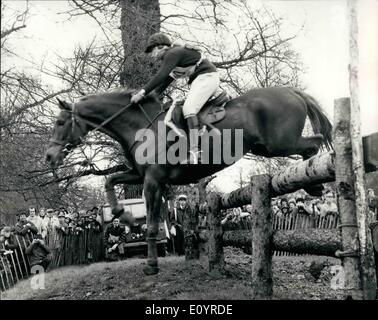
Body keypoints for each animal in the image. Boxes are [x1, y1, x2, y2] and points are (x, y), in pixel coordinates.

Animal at [45, 85, 332, 276]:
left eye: (60, 122)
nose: (49, 156)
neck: (140, 127)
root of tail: (292, 92)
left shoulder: (152, 181)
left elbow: (152, 225)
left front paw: (151, 265)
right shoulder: (141, 175)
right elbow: (110, 181)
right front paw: (123, 215)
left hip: (278, 143)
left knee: (314, 143)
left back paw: (316, 180)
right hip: (267, 147)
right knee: (311, 145)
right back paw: (314, 183)